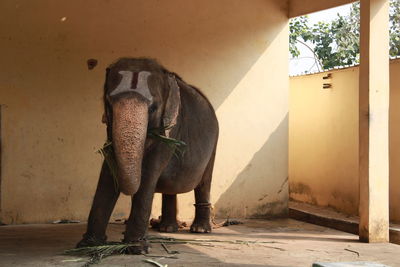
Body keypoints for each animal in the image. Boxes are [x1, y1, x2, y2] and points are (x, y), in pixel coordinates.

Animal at [77, 57, 219, 254]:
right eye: (109, 103)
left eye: (153, 108)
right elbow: (108, 172)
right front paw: (88, 246)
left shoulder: (170, 130)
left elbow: (149, 174)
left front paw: (137, 249)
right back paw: (167, 228)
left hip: (213, 144)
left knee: (204, 183)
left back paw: (200, 230)